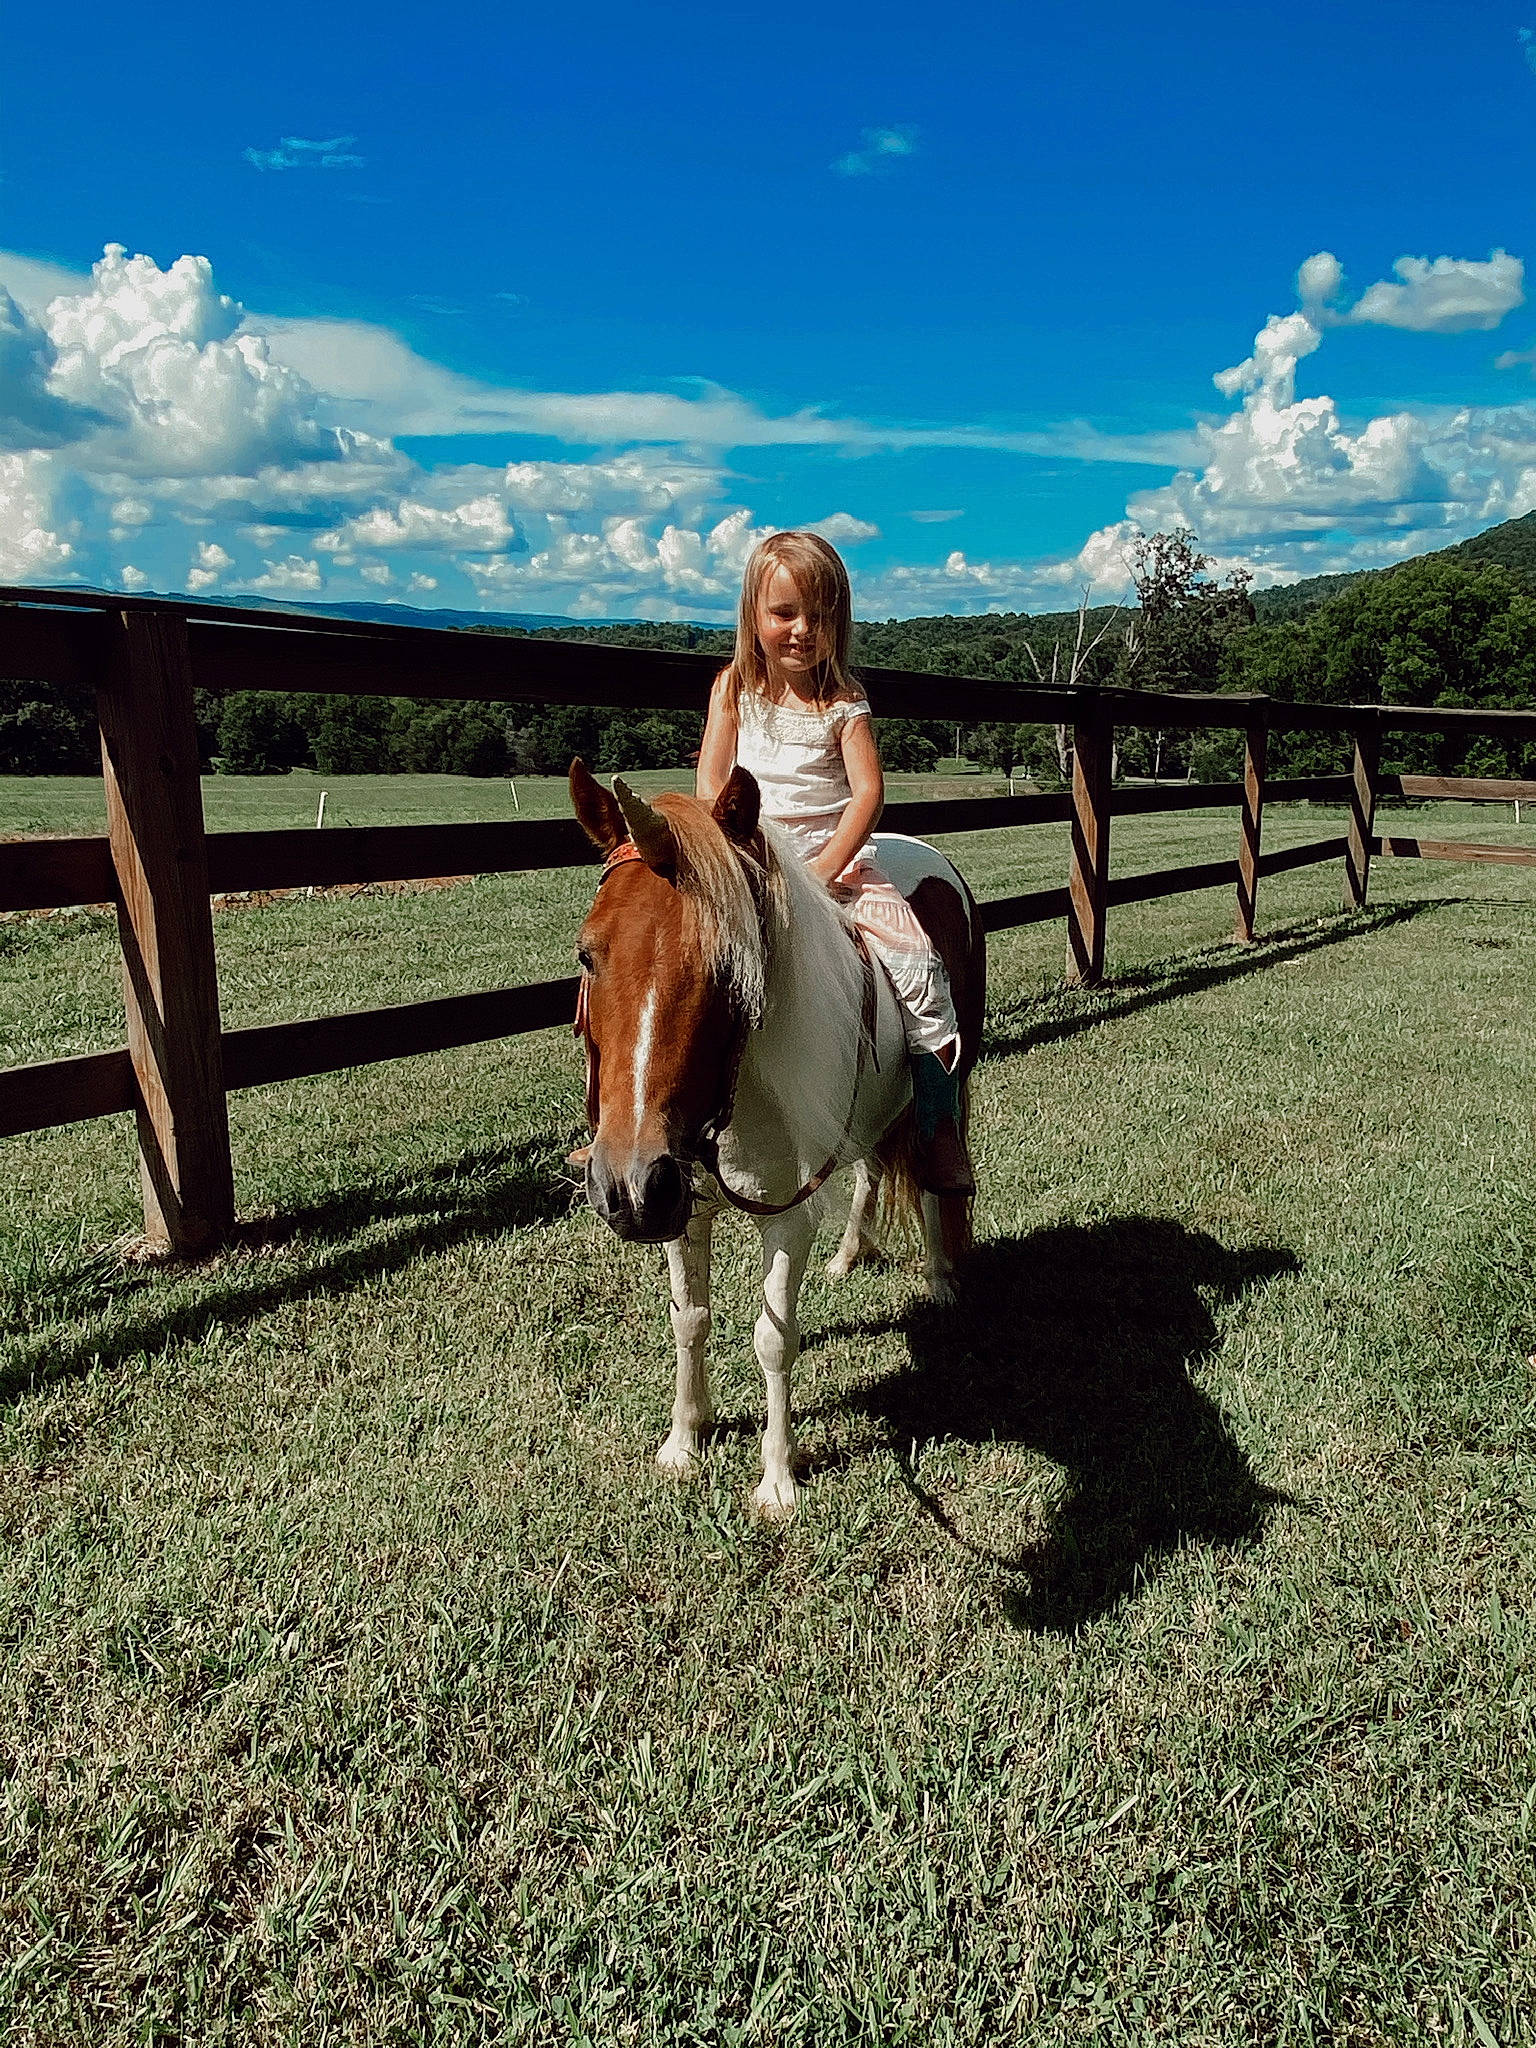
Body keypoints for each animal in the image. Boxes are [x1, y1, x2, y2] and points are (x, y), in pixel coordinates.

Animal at [568, 757, 985, 1518]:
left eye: (728, 967)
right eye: (588, 956)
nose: (627, 1187)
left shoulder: (786, 1217)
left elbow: (773, 1338)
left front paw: (777, 1481)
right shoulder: (684, 1207)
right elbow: (689, 1318)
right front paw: (684, 1442)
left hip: (947, 1078)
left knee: (932, 1171)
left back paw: (940, 1278)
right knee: (870, 1171)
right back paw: (849, 1256)